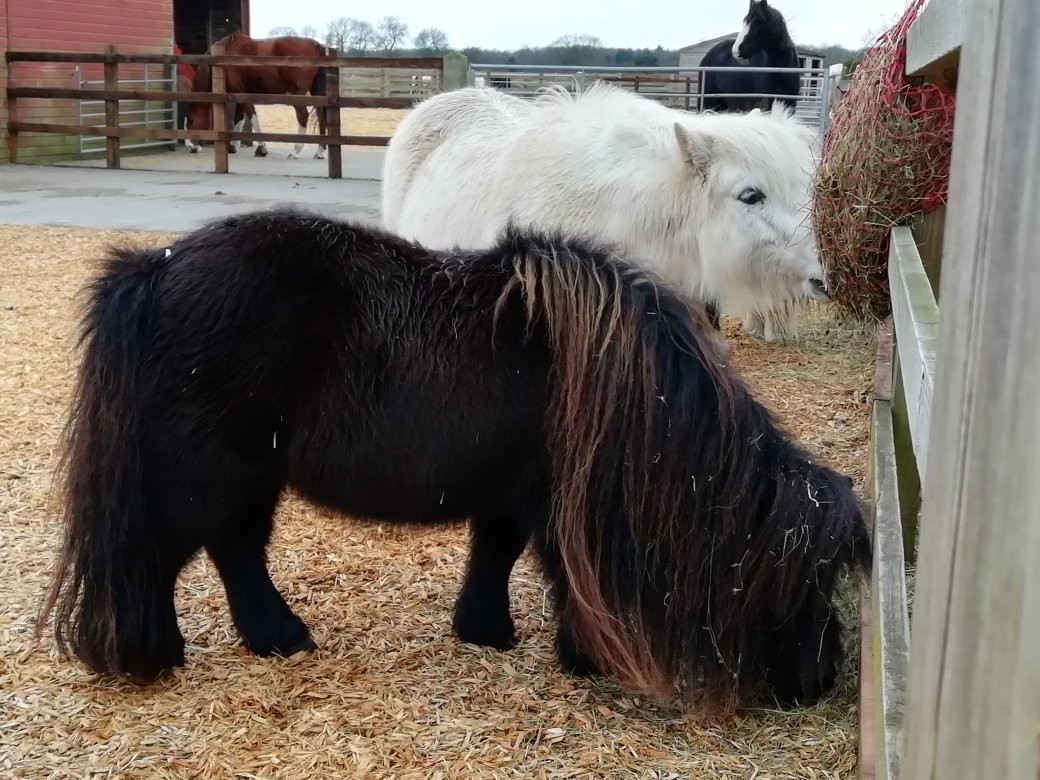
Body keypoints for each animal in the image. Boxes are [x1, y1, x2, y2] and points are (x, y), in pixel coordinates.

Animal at [36, 209, 869, 715]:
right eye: (804, 580)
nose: (822, 678)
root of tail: (155, 268)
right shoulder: (554, 503)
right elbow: (564, 574)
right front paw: (588, 656)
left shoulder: (509, 494)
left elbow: (493, 556)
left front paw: (487, 632)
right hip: (205, 477)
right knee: (160, 558)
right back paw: (155, 654)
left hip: (249, 481)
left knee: (234, 552)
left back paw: (277, 638)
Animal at [187, 33, 328, 160]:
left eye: (191, 120)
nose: (190, 147)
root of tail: (316, 46)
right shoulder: (238, 95)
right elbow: (238, 118)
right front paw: (233, 146)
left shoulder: (242, 95)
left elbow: (252, 117)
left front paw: (261, 148)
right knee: (321, 117)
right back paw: (320, 152)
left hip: (297, 96)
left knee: (303, 116)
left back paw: (295, 151)